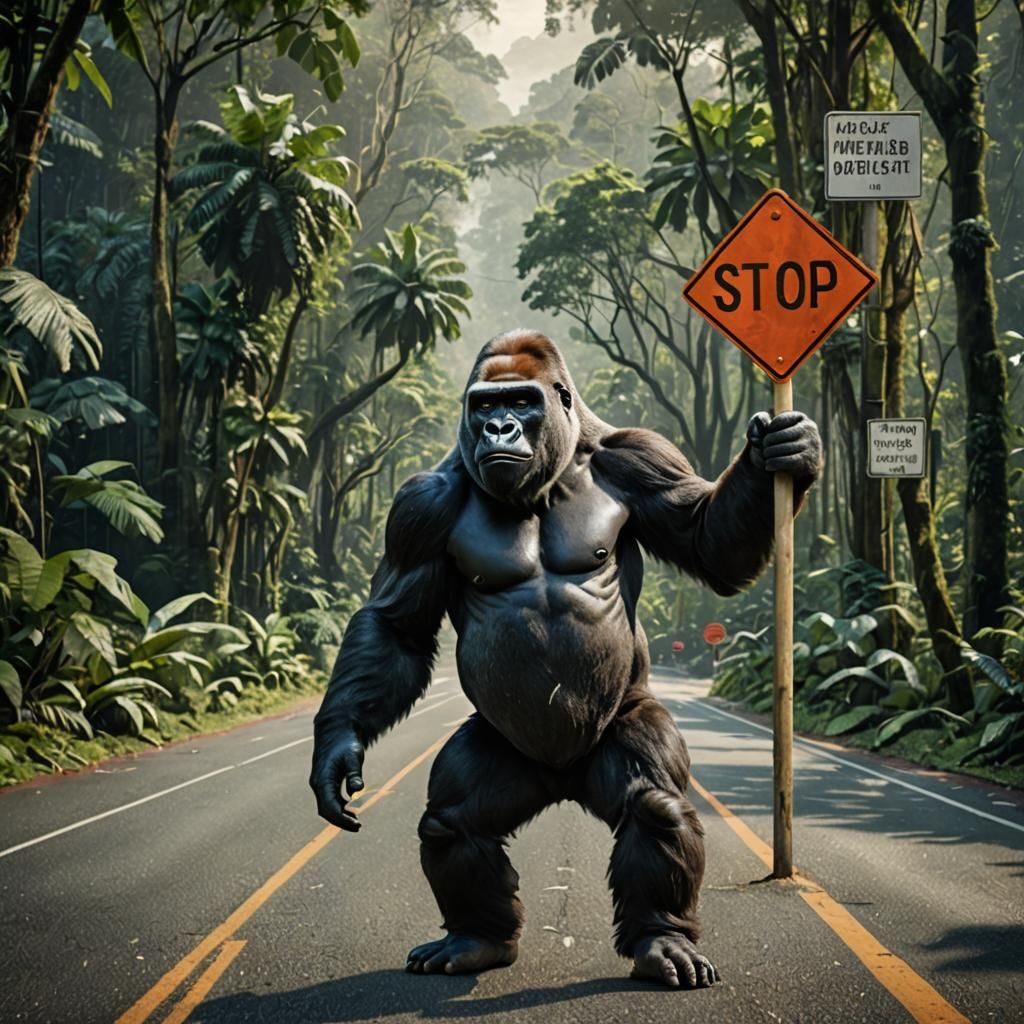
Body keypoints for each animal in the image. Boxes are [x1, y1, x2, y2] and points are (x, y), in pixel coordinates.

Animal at [310, 330, 822, 988]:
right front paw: (338, 748)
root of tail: (561, 779)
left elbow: (707, 543)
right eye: (483, 404)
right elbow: (396, 627)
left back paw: (660, 938)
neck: (550, 476)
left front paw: (781, 452)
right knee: (452, 822)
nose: (498, 427)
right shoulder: (418, 504)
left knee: (655, 804)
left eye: (522, 401)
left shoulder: (642, 459)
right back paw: (478, 937)